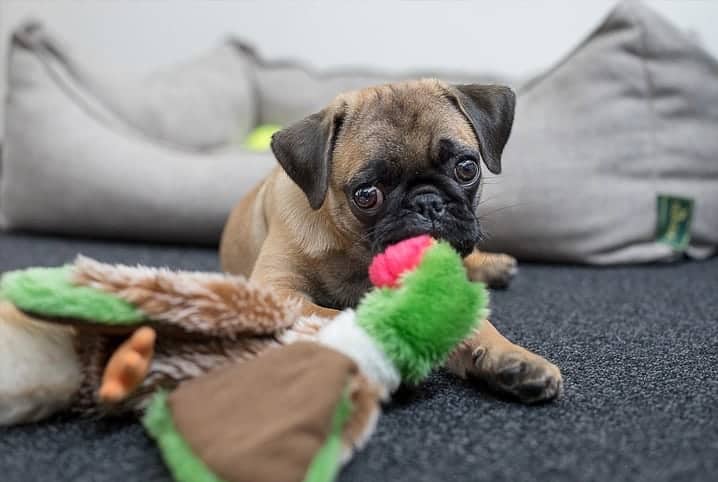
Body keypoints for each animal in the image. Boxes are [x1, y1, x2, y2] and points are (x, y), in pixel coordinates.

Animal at [222, 80, 564, 402]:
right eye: (366, 195)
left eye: (467, 168)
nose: (427, 202)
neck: (355, 253)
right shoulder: (278, 290)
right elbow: (337, 314)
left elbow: (477, 324)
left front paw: (511, 357)